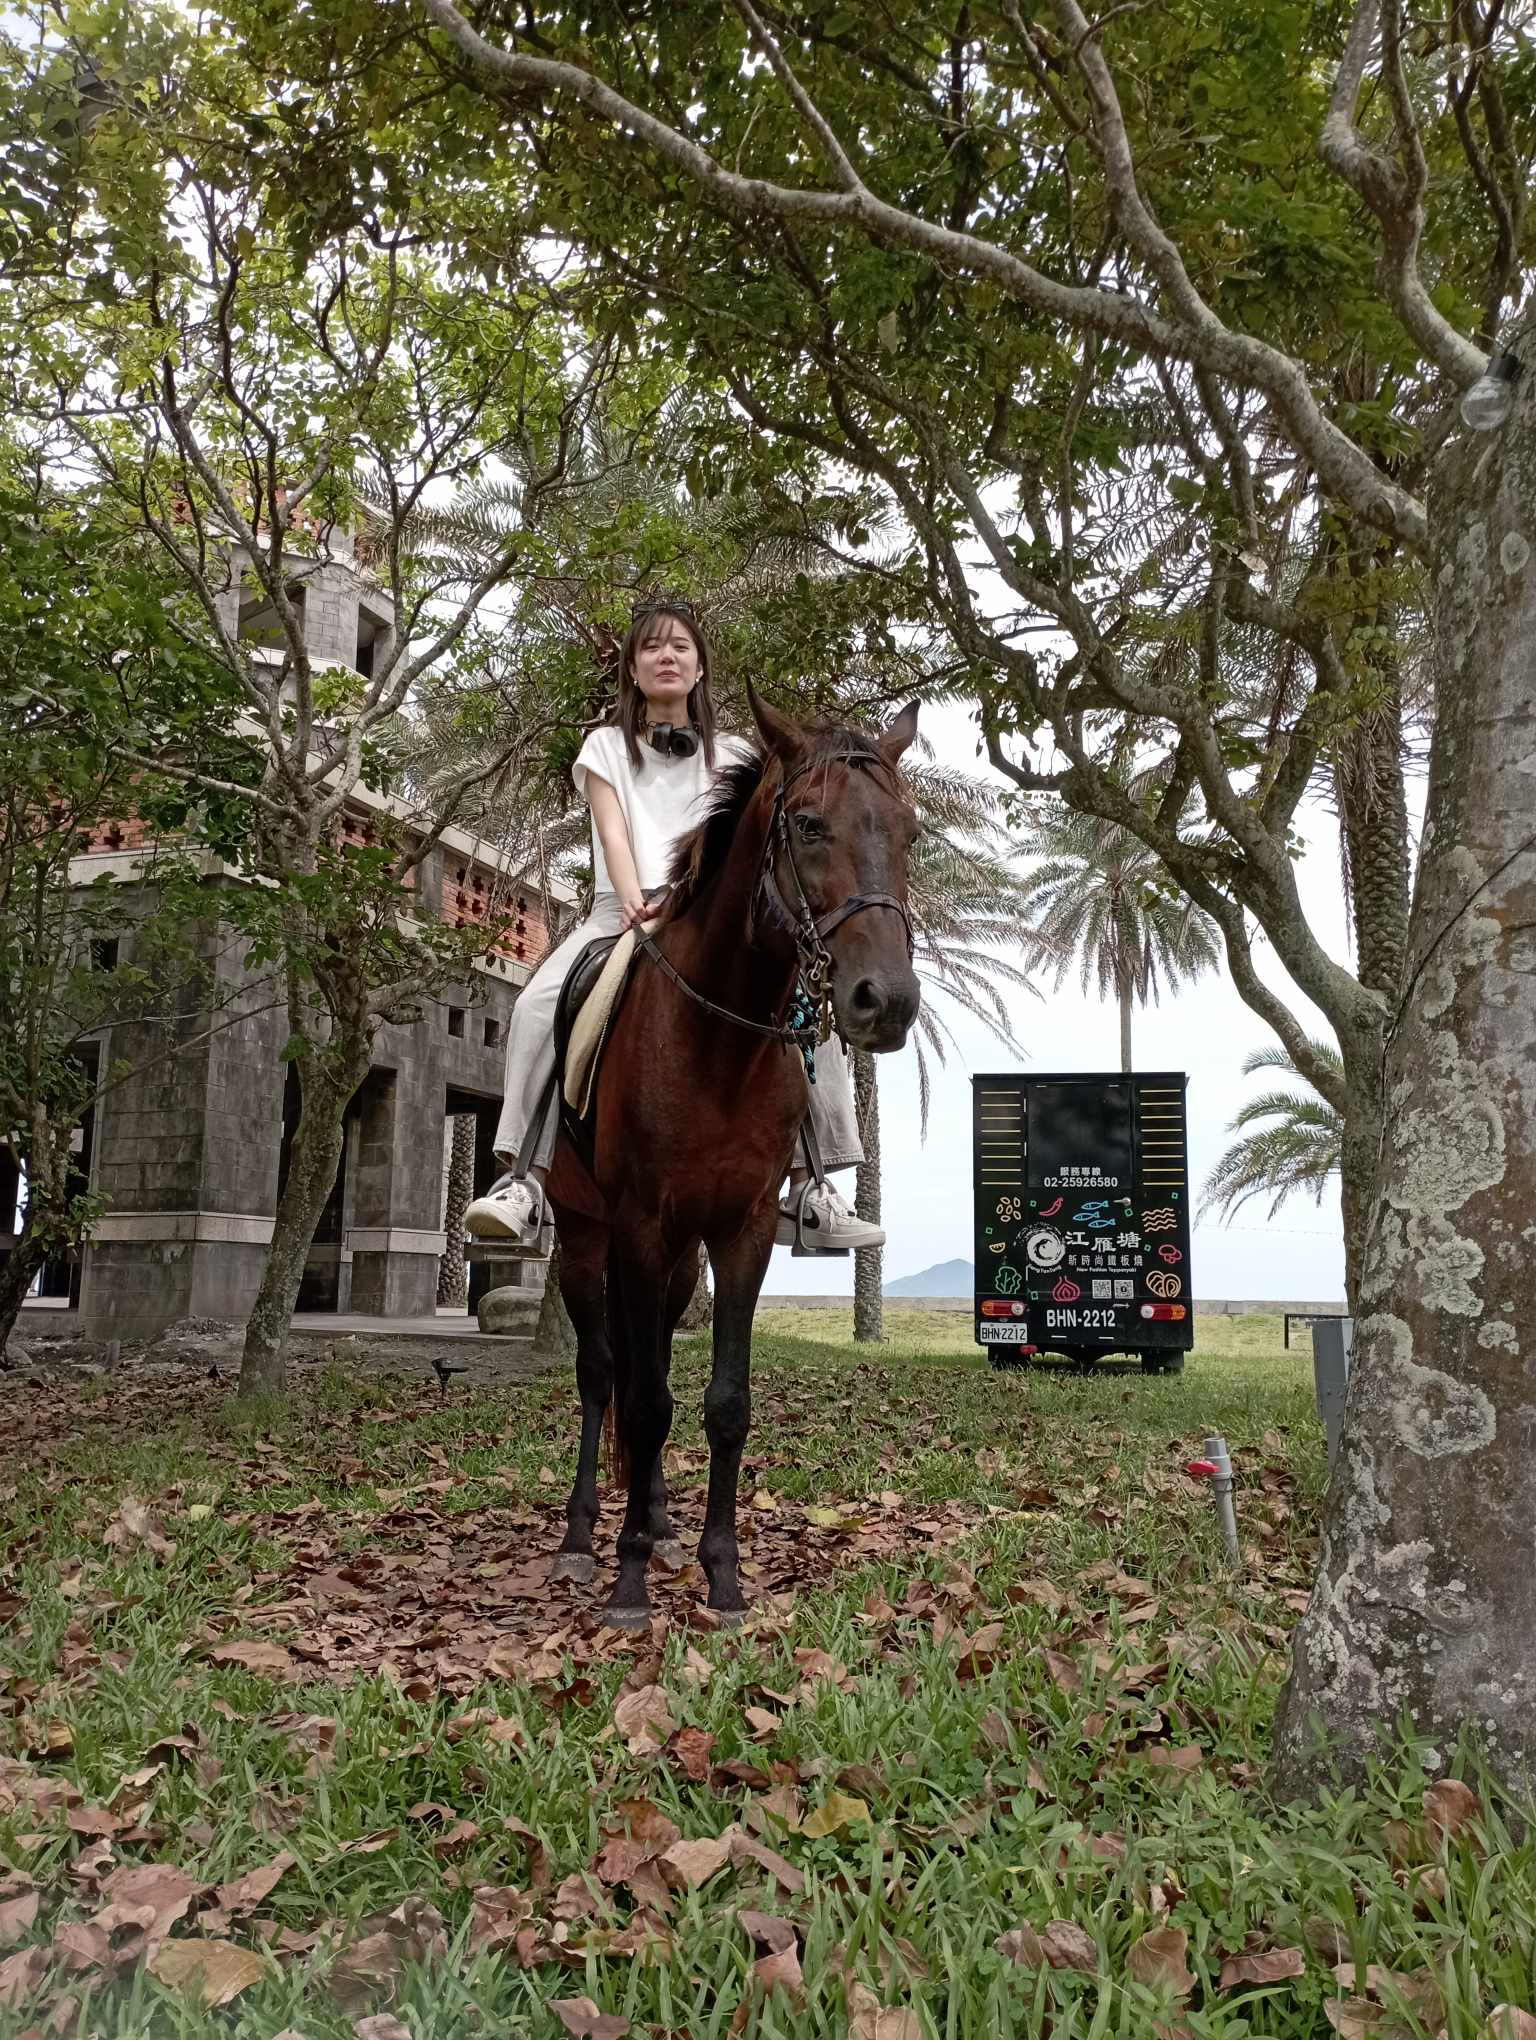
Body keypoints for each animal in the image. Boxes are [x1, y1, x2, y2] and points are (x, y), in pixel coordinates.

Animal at [542, 693, 917, 1632]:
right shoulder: (637, 1228)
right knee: (603, 1375)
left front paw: (721, 1572)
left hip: (679, 1261)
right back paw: (583, 1538)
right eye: (810, 825)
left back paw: (661, 1525)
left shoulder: (739, 1233)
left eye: (911, 831)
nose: (887, 1001)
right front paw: (629, 1582)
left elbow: (722, 1404)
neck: (718, 1042)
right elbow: (641, 1403)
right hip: (586, 1236)